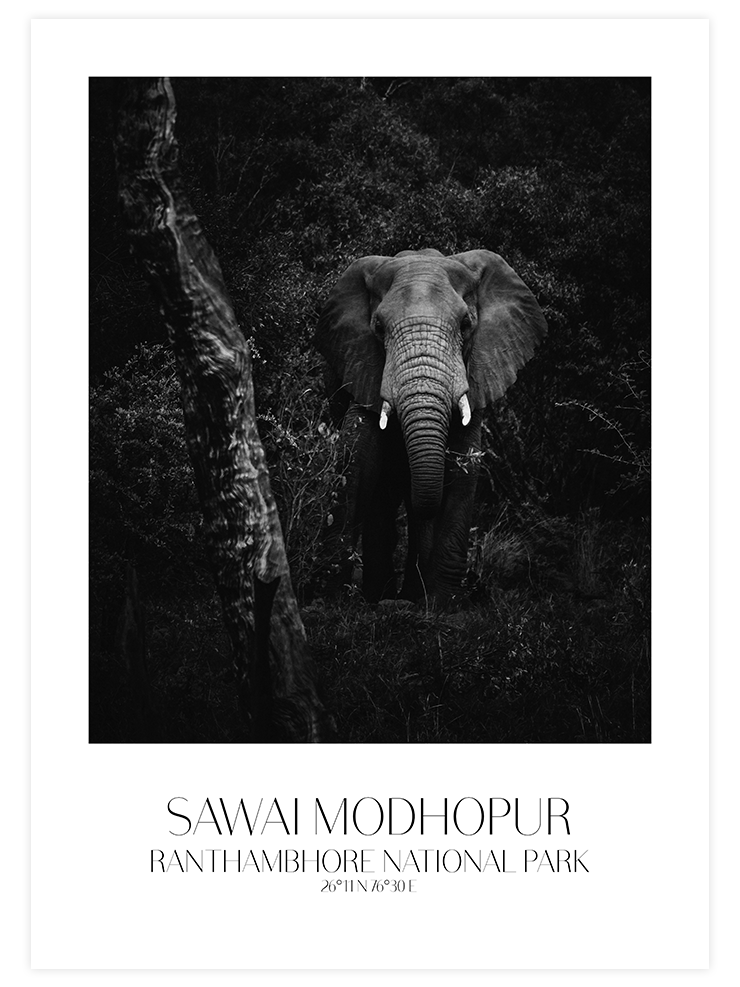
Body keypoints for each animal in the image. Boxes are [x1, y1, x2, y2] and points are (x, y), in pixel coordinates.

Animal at [314, 248, 547, 605]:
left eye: (466, 324)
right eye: (378, 327)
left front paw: (442, 603)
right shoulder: (362, 365)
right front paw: (330, 595)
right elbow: (357, 461)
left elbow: (463, 468)